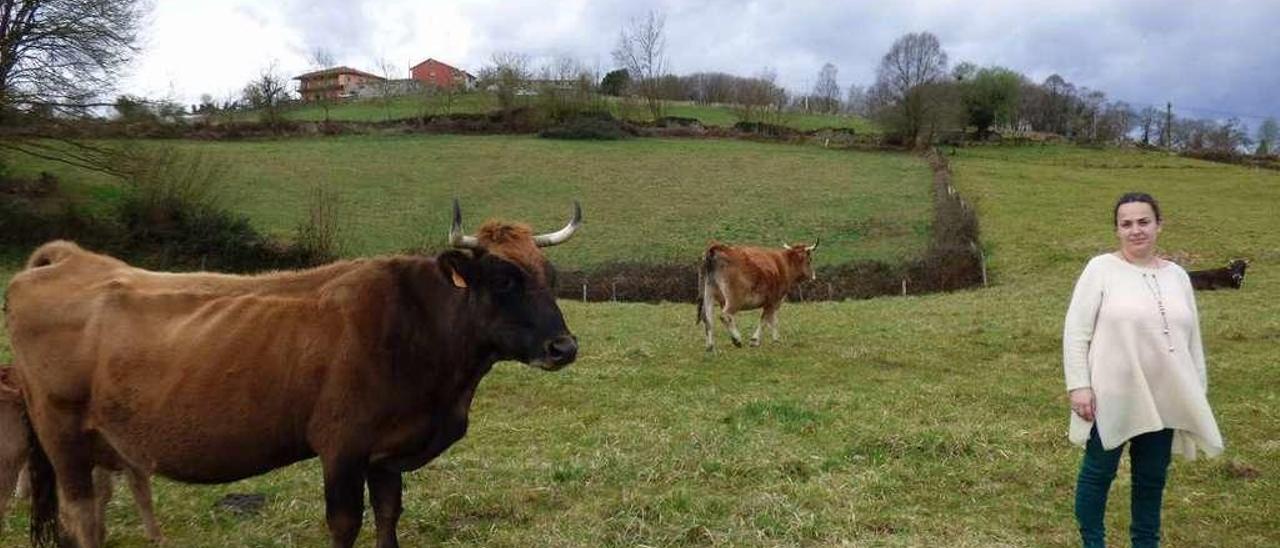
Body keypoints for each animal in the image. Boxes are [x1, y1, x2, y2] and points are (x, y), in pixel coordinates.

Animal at [5, 199, 583, 548]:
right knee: (81, 514)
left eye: (548, 275)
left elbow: (389, 516)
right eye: (504, 280)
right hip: (62, 434)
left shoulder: (386, 454)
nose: (564, 346)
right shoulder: (342, 447)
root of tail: (70, 259)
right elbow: (345, 524)